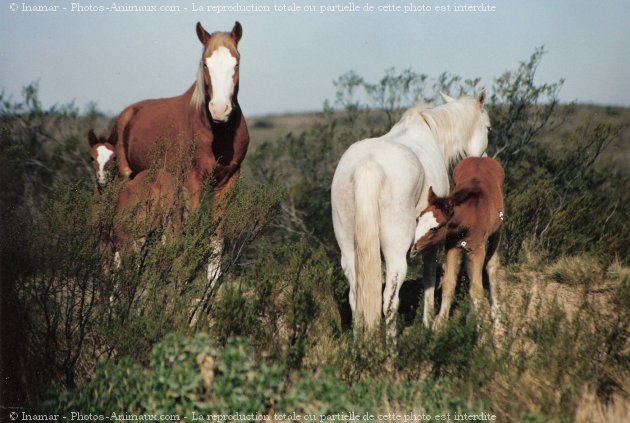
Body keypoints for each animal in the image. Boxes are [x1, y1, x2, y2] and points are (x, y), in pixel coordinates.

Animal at [334, 91, 492, 332]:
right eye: (488, 128)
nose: (482, 161)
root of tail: (368, 166)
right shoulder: (432, 241)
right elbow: (429, 278)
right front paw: (428, 323)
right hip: (396, 254)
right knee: (389, 301)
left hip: (349, 252)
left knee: (357, 300)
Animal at [412, 157, 506, 330]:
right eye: (419, 219)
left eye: (435, 228)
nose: (413, 248)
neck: (470, 217)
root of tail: (480, 158)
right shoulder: (452, 246)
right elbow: (449, 283)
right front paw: (440, 323)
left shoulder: (477, 249)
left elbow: (476, 289)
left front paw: (482, 327)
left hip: (497, 233)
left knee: (492, 267)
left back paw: (497, 316)